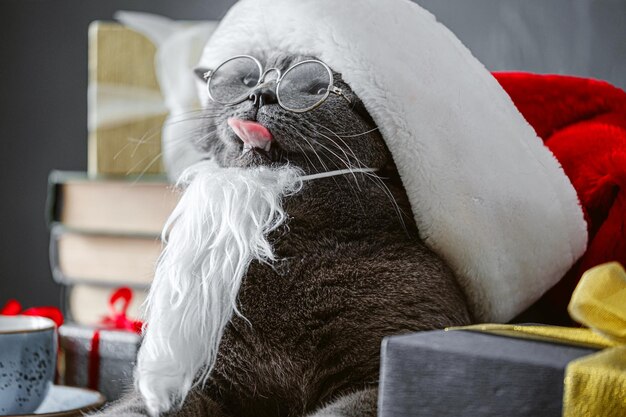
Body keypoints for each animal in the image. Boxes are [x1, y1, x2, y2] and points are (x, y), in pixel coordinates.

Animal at [96, 52, 468, 416]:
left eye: (318, 88)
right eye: (247, 79)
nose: (260, 94)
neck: (287, 254)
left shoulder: (382, 371)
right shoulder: (199, 375)